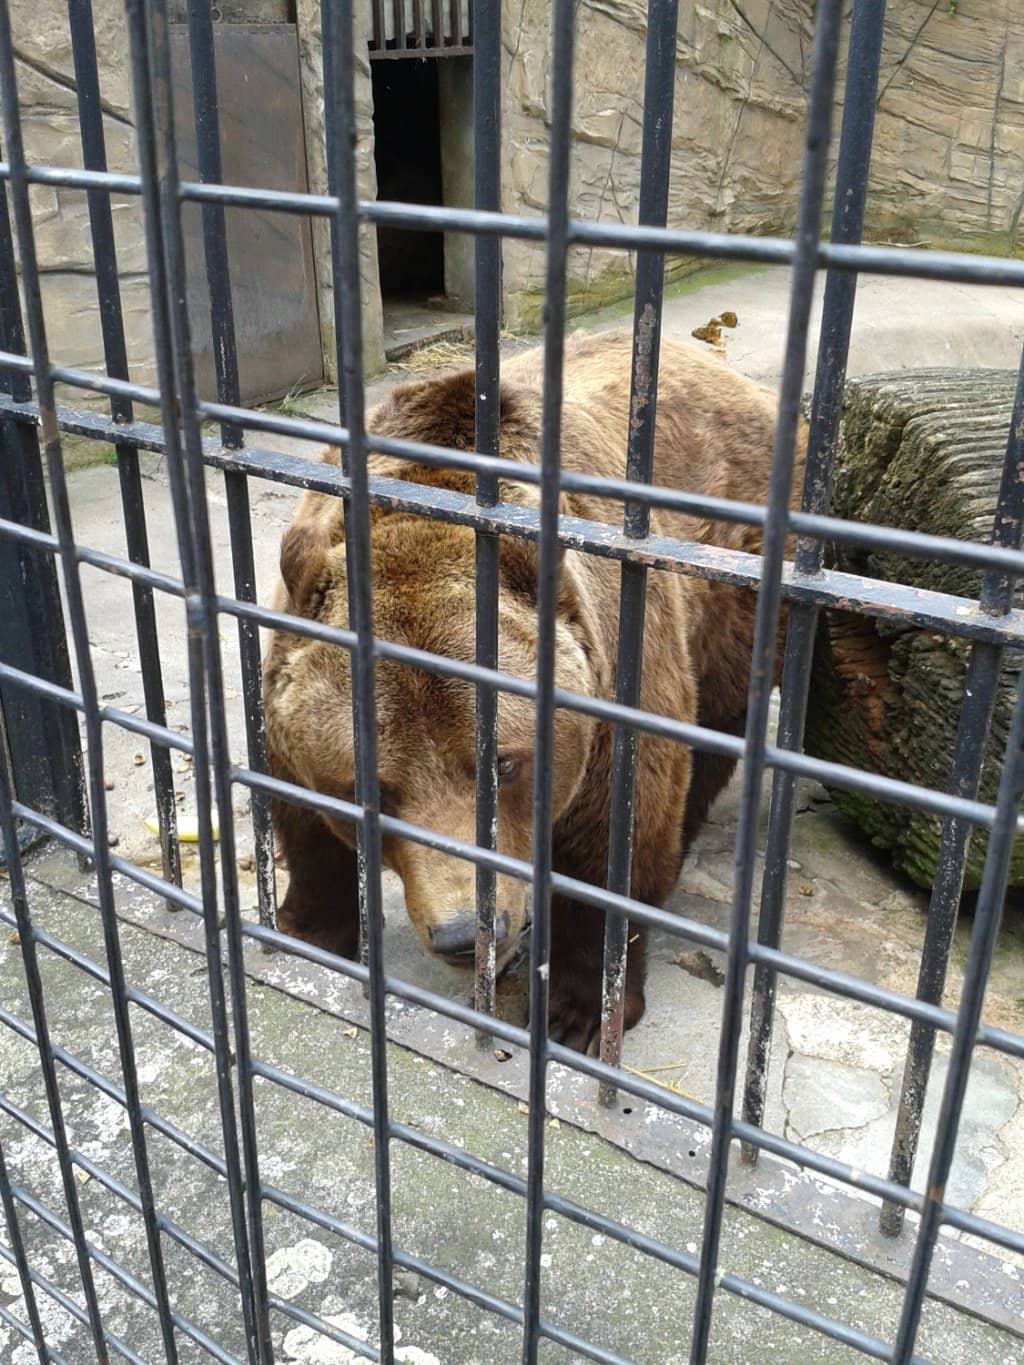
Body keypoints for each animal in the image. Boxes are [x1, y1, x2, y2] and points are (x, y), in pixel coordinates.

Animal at [261, 327, 805, 1053]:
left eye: (504, 763)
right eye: (368, 787)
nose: (464, 934)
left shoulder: (615, 678)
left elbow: (613, 843)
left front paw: (578, 1012)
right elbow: (300, 815)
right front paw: (305, 930)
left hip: (736, 574)